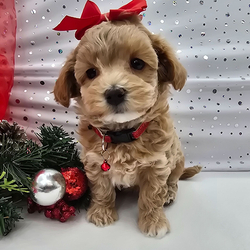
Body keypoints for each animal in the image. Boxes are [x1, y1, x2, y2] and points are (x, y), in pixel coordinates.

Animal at [53, 14, 201, 237]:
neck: (123, 134)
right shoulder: (95, 163)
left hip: (177, 160)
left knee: (173, 180)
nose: (114, 93)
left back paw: (169, 192)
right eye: (91, 72)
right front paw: (101, 212)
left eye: (137, 63)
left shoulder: (157, 164)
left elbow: (152, 195)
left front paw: (153, 221)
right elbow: (102, 189)